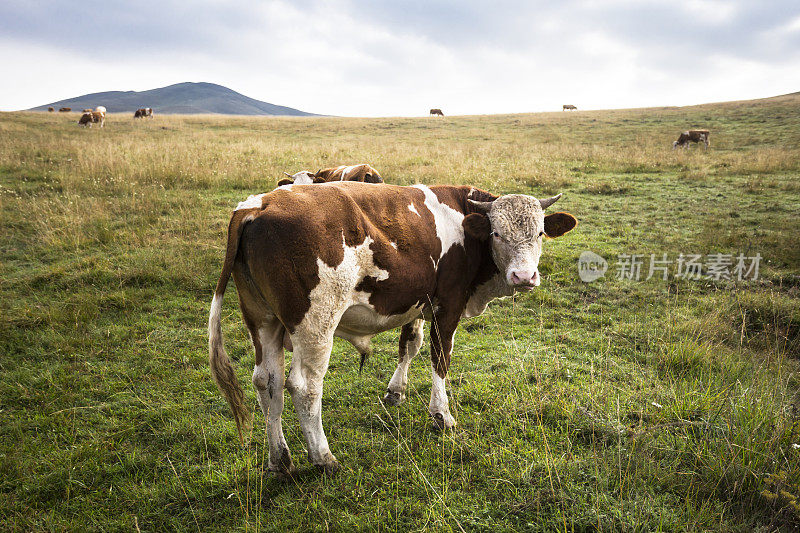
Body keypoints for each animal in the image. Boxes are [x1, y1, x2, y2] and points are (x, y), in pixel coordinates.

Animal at [209, 180, 580, 474]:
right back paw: (323, 458)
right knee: (304, 387)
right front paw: (441, 416)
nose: (524, 276)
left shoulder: (418, 302)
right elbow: (440, 359)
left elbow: (409, 345)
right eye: (496, 233)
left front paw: (396, 391)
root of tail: (260, 205)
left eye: (540, 232)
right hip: (316, 325)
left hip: (262, 320)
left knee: (266, 382)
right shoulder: (448, 305)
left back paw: (279, 460)